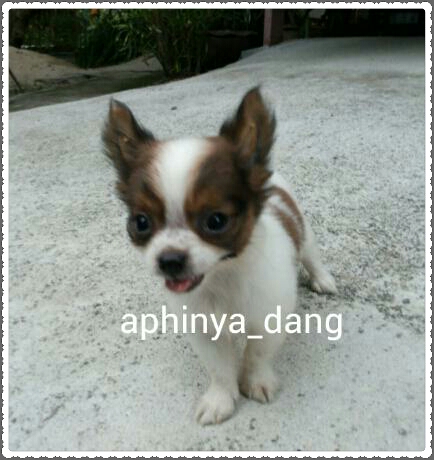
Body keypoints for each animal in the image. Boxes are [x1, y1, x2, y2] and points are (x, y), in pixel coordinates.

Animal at [103, 87, 337, 425]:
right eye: (141, 222)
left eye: (216, 221)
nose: (169, 260)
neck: (223, 277)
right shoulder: (203, 329)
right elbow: (219, 369)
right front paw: (221, 399)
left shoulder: (267, 318)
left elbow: (256, 355)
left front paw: (256, 382)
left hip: (305, 234)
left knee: (311, 257)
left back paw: (323, 279)